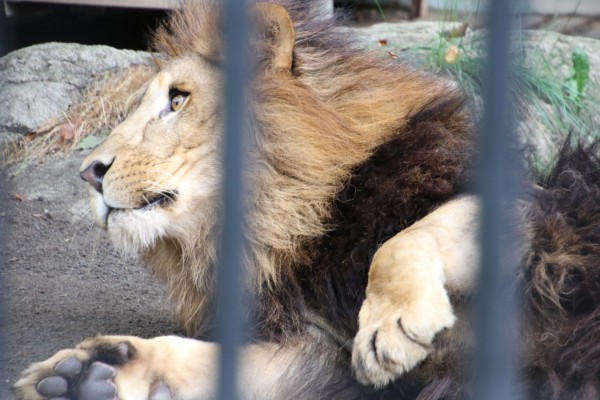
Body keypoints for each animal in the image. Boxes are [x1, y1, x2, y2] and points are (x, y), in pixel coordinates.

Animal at [12, 0, 600, 400]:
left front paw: (389, 328)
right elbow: (209, 360)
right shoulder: (320, 357)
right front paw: (92, 371)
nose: (88, 171)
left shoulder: (539, 209)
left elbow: (398, 243)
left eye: (178, 100)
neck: (283, 224)